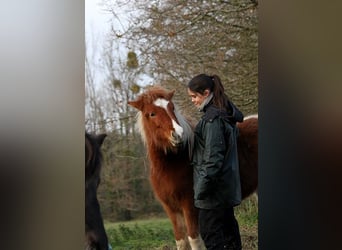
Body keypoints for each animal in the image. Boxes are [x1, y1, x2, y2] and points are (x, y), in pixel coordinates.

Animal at [127, 86, 256, 250]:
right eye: (152, 113)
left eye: (172, 107)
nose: (178, 134)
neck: (171, 165)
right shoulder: (171, 209)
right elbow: (181, 241)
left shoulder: (189, 206)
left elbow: (194, 239)